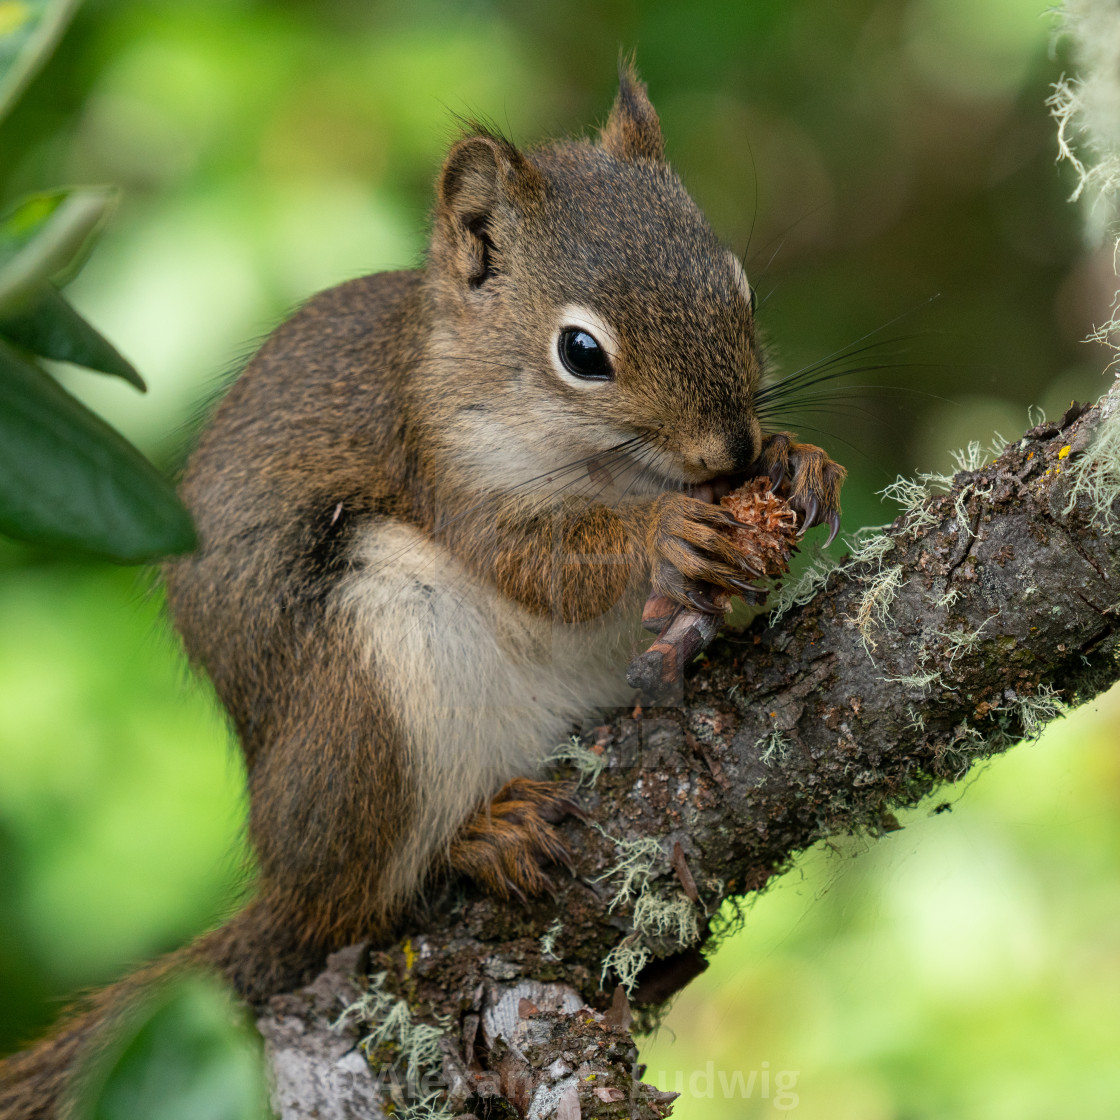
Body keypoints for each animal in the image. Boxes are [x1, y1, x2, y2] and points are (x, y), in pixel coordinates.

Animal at [0, 63, 842, 1120]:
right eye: (581, 353)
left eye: (743, 290)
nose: (729, 452)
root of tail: (285, 878)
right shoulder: (443, 465)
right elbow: (537, 564)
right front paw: (665, 536)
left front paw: (799, 463)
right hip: (366, 691)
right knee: (361, 900)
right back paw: (476, 837)